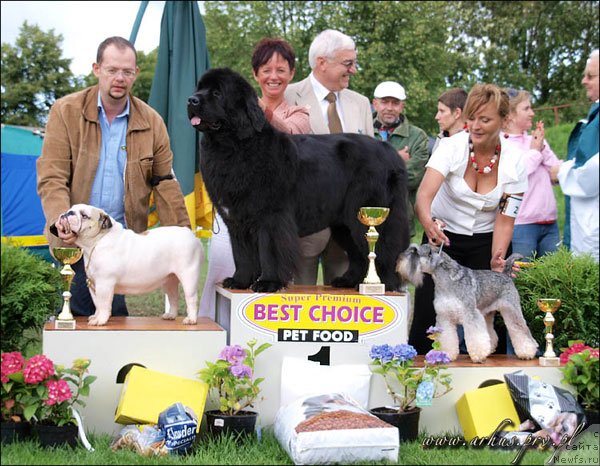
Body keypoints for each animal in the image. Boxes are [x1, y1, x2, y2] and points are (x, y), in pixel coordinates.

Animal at [189, 67, 412, 294]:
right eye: (199, 89)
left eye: (217, 93)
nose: (191, 100)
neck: (234, 146)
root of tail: (390, 152)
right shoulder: (236, 219)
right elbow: (242, 254)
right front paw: (239, 281)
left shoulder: (271, 217)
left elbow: (269, 251)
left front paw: (268, 282)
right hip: (346, 222)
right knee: (359, 252)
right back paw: (349, 281)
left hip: (368, 213)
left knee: (384, 248)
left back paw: (386, 284)